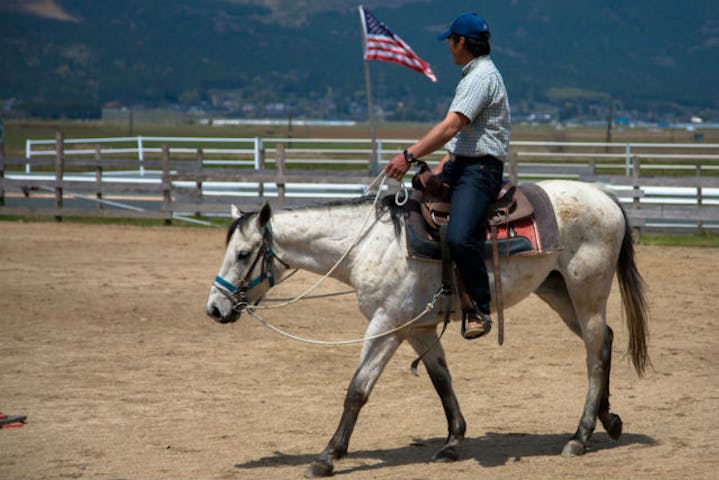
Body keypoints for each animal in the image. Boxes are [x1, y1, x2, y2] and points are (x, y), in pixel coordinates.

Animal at [205, 179, 648, 476]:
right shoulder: (417, 328)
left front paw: (327, 457)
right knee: (604, 342)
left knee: (595, 352)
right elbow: (441, 381)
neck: (368, 244)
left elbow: (357, 390)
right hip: (557, 291)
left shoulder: (386, 326)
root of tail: (606, 198)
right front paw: (452, 443)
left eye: (243, 253)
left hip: (587, 292)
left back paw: (580, 435)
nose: (215, 308)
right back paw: (608, 420)